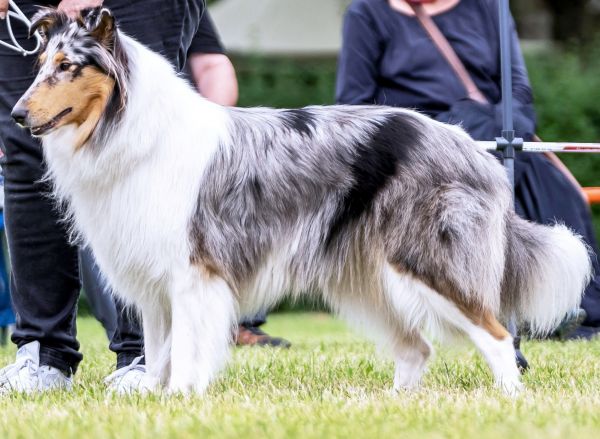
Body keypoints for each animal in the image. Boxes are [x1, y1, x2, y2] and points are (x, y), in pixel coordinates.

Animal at [11, 7, 591, 396]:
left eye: (67, 66)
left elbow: (190, 350)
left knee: (497, 335)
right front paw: (156, 399)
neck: (128, 128)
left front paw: (181, 400)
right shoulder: (154, 284)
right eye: (39, 66)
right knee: (418, 346)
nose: (16, 114)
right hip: (366, 281)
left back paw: (510, 401)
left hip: (427, 263)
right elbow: (157, 355)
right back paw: (394, 405)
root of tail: (473, 147)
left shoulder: (194, 273)